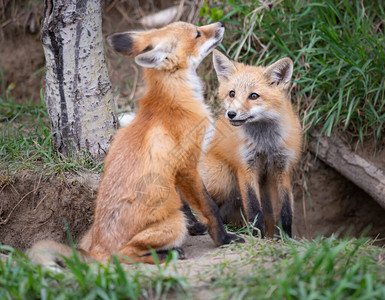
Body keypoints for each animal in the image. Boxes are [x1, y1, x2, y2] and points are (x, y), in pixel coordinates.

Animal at [28, 22, 242, 266]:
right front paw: (223, 239)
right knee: (123, 255)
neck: (174, 100)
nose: (221, 24)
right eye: (197, 33)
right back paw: (170, 253)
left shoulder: (172, 171)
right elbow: (209, 207)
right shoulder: (187, 166)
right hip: (172, 224)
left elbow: (183, 204)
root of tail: (97, 249)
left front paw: (196, 227)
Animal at [200, 52, 302, 239]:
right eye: (232, 93)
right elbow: (254, 208)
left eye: (254, 96)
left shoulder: (283, 167)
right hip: (223, 176)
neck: (265, 143)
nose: (231, 114)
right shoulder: (245, 166)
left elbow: (286, 210)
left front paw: (287, 238)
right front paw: (257, 236)